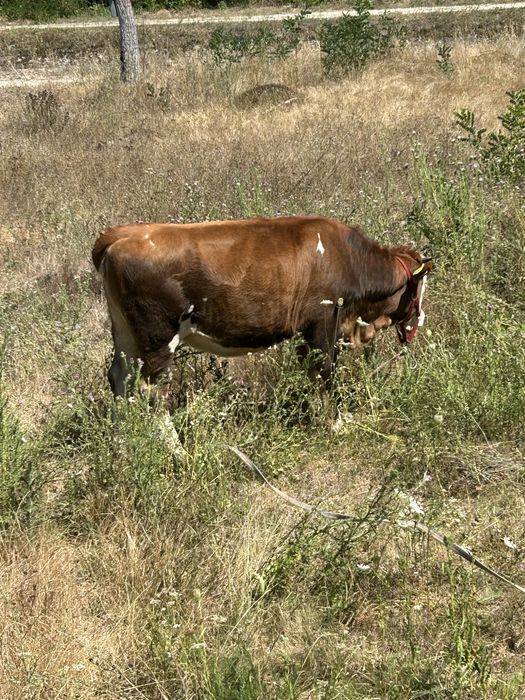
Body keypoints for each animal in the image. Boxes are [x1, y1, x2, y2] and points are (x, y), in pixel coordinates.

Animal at [92, 216, 432, 398]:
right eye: (419, 288)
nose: (420, 319)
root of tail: (124, 235)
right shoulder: (323, 323)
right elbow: (325, 374)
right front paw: (336, 424)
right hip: (157, 337)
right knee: (150, 389)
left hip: (125, 333)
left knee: (119, 377)